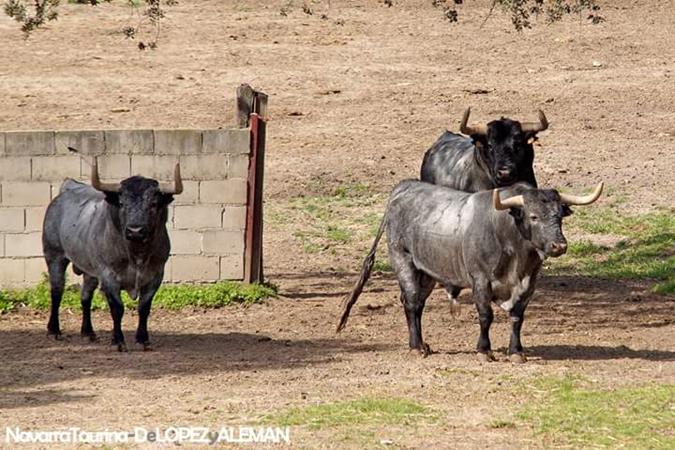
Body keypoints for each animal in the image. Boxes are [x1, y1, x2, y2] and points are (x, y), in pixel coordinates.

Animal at [43, 158, 184, 352]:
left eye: (154, 204)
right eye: (122, 203)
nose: (135, 231)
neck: (136, 255)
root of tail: (68, 188)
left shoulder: (155, 275)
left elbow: (144, 308)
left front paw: (143, 339)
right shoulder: (108, 276)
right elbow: (117, 308)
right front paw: (118, 340)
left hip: (90, 271)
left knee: (86, 296)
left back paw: (88, 332)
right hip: (54, 256)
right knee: (57, 291)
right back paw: (54, 330)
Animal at [336, 179, 604, 362]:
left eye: (560, 216)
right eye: (533, 216)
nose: (559, 245)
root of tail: (403, 187)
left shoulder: (529, 283)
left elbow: (517, 317)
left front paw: (516, 351)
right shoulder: (480, 280)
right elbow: (486, 316)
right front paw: (484, 350)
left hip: (428, 273)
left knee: (417, 304)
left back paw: (423, 344)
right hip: (403, 260)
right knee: (411, 302)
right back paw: (416, 347)